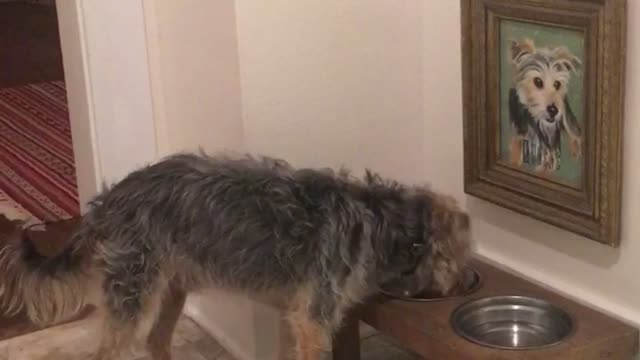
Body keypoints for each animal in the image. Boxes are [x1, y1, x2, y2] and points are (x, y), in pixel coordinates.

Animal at [0, 152, 470, 360]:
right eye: (462, 252)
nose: (467, 283)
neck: (379, 219)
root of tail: (111, 200)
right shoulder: (312, 320)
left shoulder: (295, 317)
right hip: (132, 293)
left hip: (171, 288)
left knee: (156, 340)